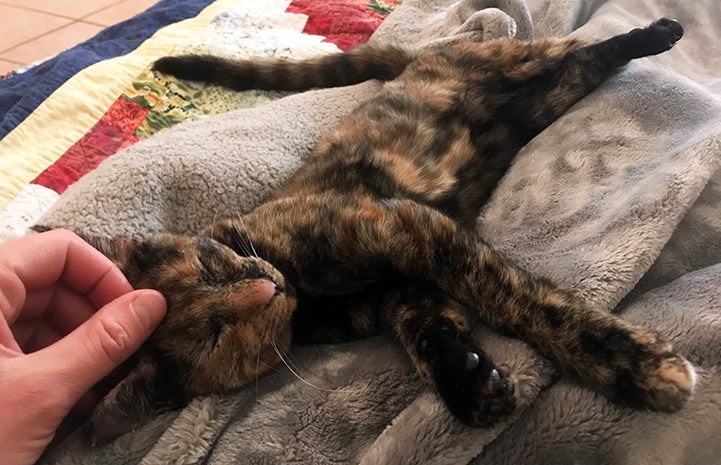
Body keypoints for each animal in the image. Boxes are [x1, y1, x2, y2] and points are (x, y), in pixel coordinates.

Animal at [71, 20, 692, 444]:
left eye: (210, 269)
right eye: (216, 336)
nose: (266, 287)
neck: (305, 294)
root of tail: (416, 59)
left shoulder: (405, 227)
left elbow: (513, 299)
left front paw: (640, 369)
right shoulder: (402, 282)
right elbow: (425, 331)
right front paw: (472, 386)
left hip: (511, 63)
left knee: (576, 44)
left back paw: (657, 33)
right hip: (538, 105)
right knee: (579, 68)